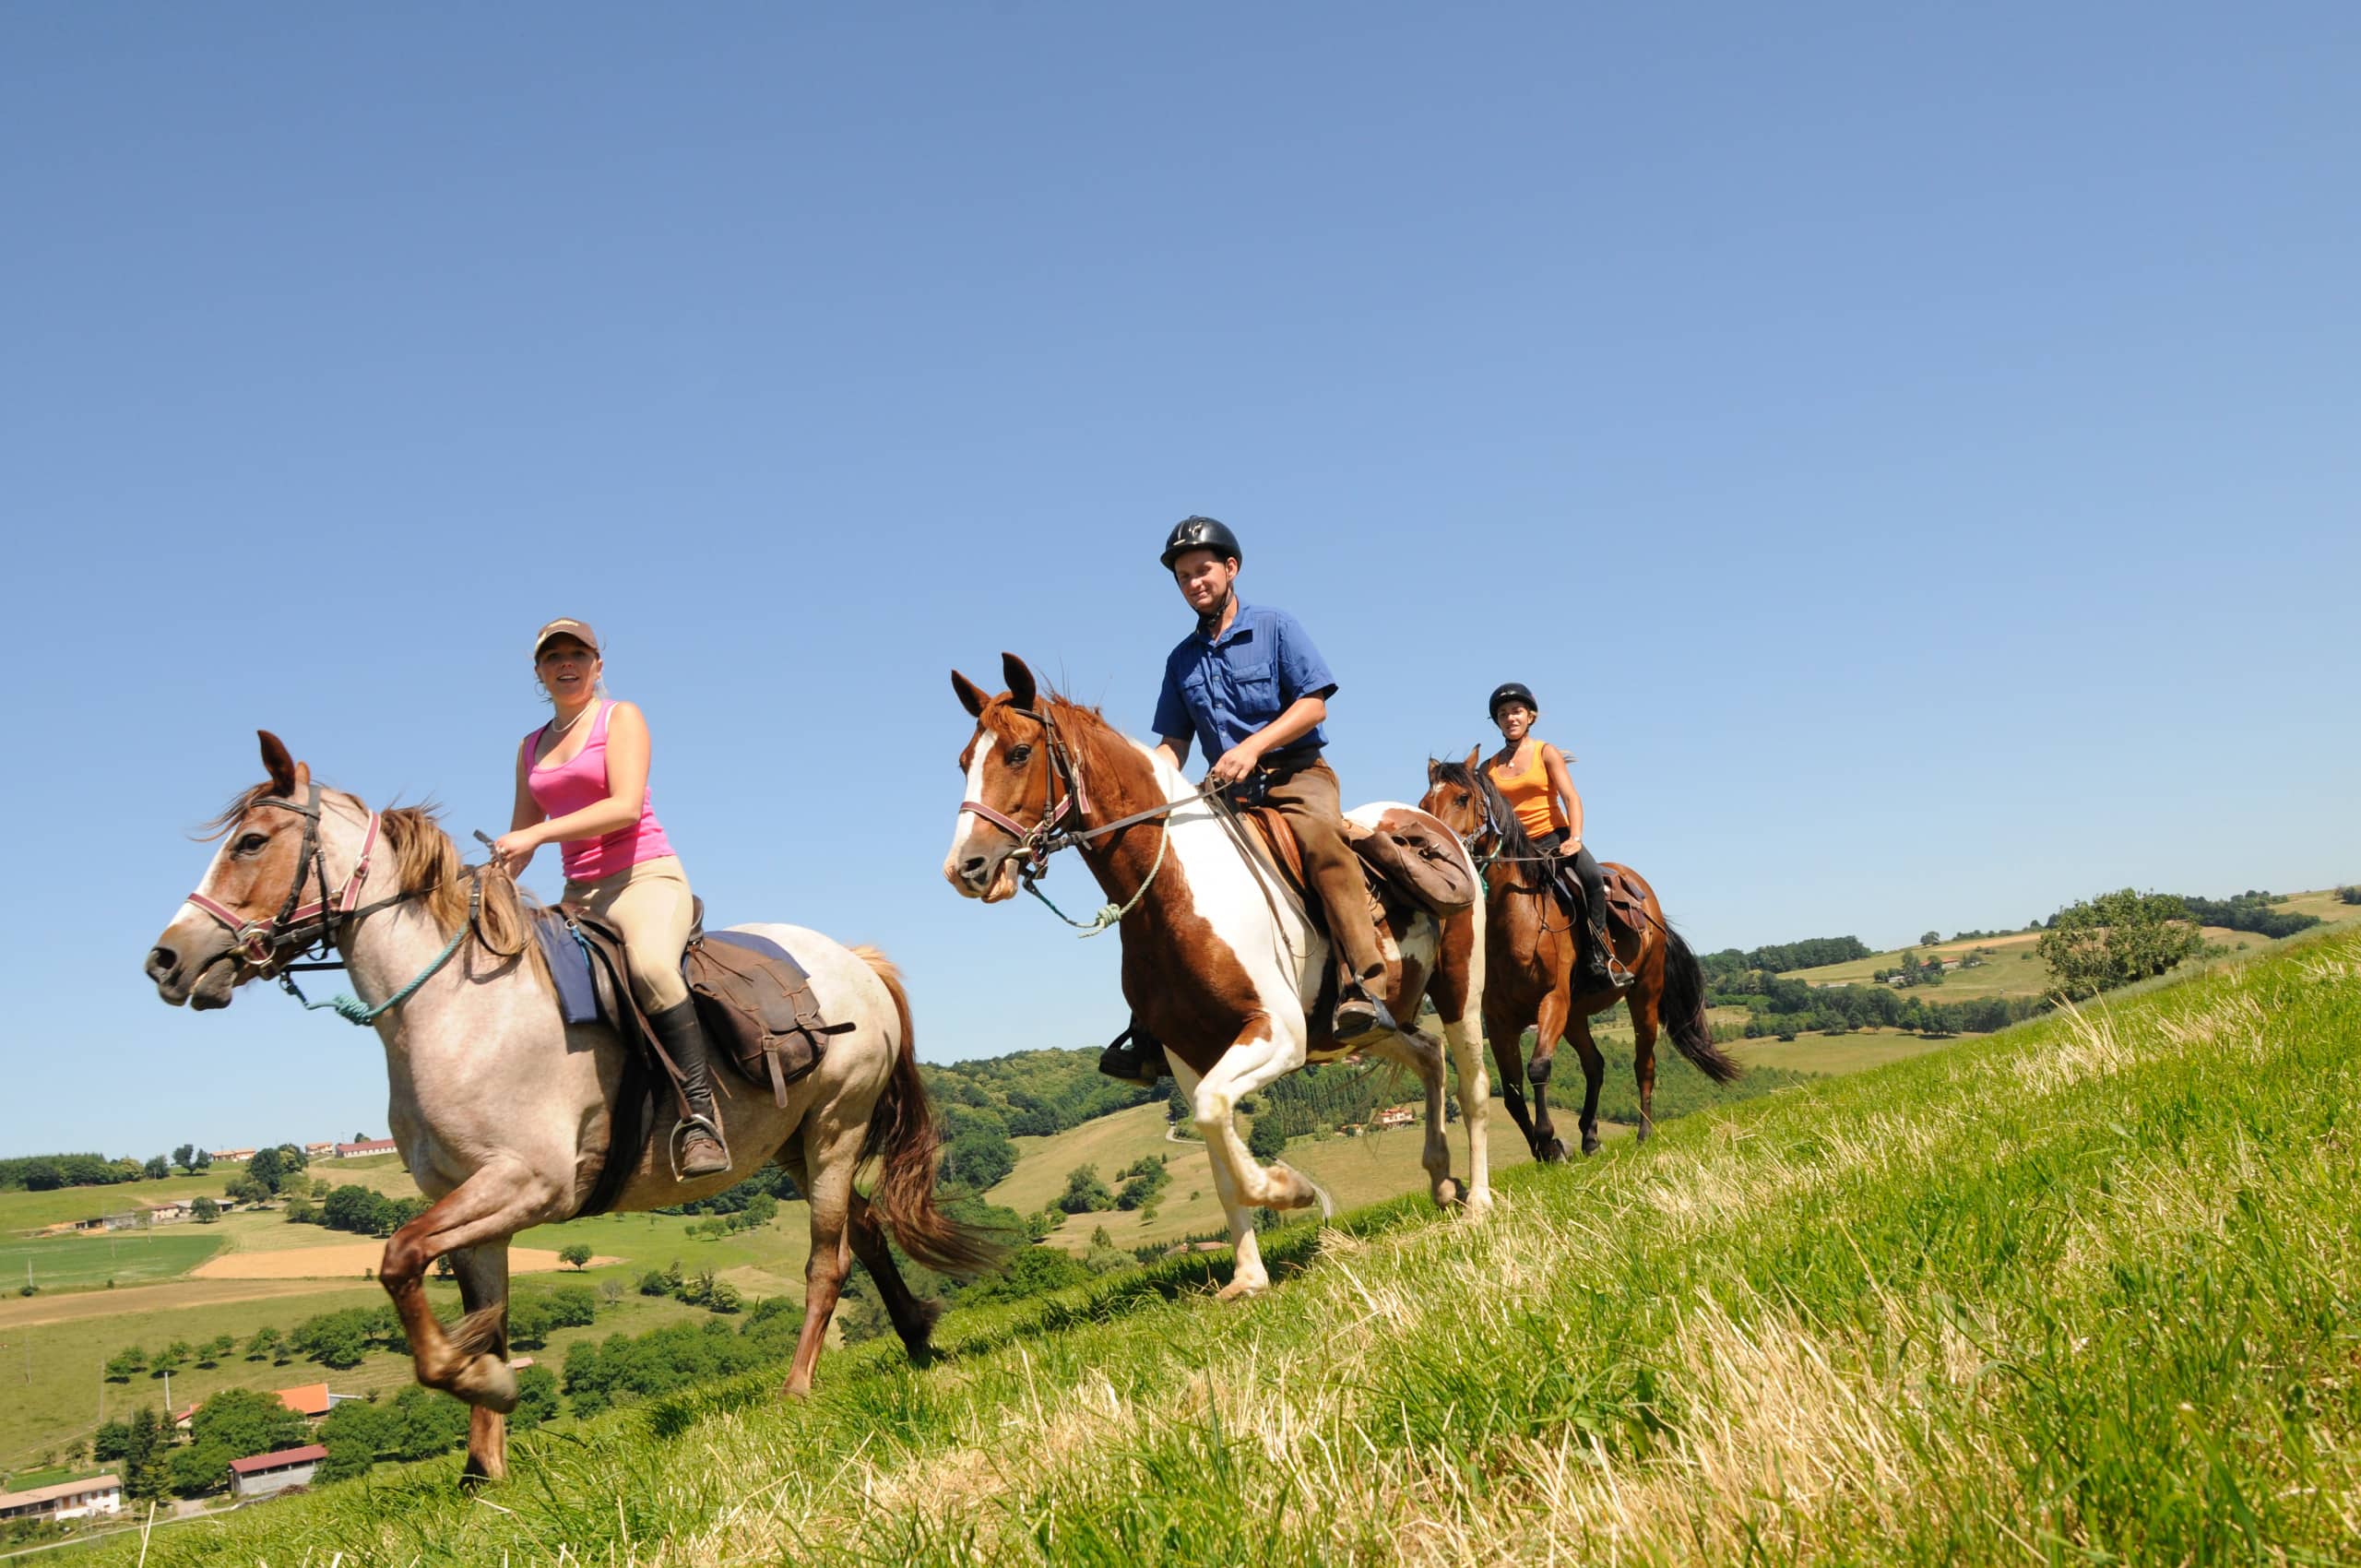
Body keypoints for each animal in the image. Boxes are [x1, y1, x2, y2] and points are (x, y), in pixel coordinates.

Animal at [145, 731, 996, 1482]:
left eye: (252, 842)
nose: (166, 960)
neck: (455, 1008)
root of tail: (854, 960)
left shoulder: (530, 1184)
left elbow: (399, 1258)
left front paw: (480, 1382)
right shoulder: (473, 1207)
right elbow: (475, 1308)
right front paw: (482, 1467)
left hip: (834, 1130)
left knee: (830, 1259)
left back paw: (797, 1387)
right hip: (794, 1145)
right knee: (869, 1229)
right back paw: (917, 1339)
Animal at [944, 651, 1482, 1294]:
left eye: (1019, 753)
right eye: (963, 762)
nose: (965, 868)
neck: (1179, 889)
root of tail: (1429, 822)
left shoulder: (1278, 1035)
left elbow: (1215, 1114)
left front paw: (1291, 1189)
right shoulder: (1187, 1056)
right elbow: (1217, 1154)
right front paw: (1248, 1277)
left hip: (1460, 990)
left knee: (1474, 1086)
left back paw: (1479, 1203)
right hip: (1371, 1027)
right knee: (1428, 1054)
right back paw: (1442, 1181)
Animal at [1406, 755, 1747, 1157]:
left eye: (1462, 798)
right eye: (1424, 804)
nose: (1429, 853)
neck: (1516, 920)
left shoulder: (1553, 1000)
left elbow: (1538, 1068)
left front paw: (1549, 1140)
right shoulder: (1500, 1020)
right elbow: (1512, 1093)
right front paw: (1545, 1149)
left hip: (1643, 997)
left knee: (1643, 1063)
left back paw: (1643, 1133)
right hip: (1577, 1016)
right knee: (1595, 1064)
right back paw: (1590, 1137)